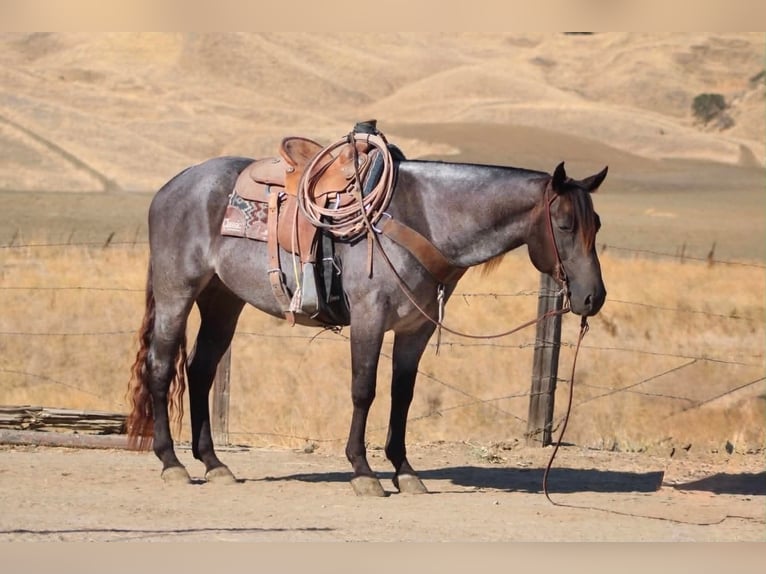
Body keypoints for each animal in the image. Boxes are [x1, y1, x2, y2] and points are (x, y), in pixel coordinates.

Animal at [126, 136, 607, 496]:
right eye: (564, 224)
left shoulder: (416, 328)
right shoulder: (369, 317)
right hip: (176, 293)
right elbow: (364, 390)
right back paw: (171, 462)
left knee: (201, 370)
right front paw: (363, 471)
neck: (423, 216)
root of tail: (172, 186)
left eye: (597, 224)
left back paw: (213, 463)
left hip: (223, 300)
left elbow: (402, 395)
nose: (593, 297)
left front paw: (405, 471)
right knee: (161, 367)